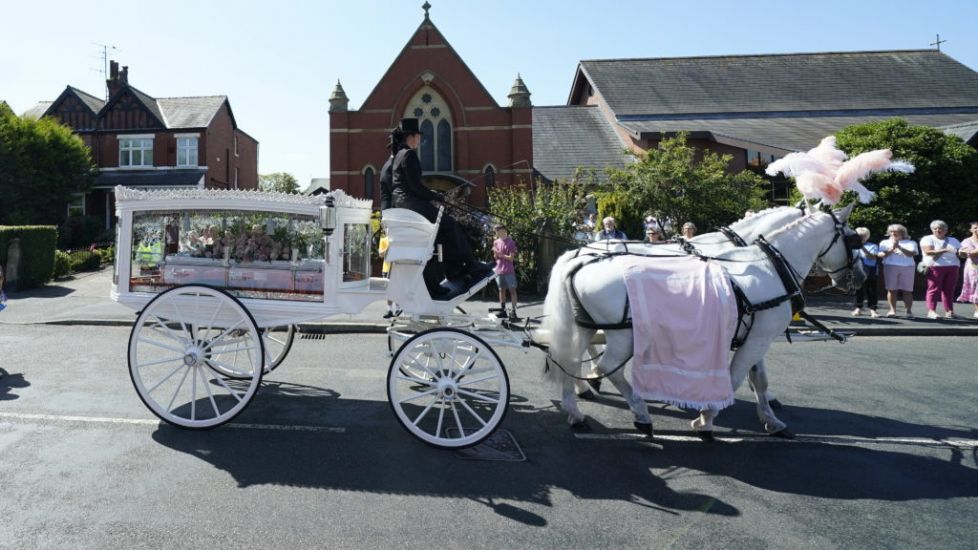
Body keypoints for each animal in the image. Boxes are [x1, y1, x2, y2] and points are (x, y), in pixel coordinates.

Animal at [536, 205, 864, 442]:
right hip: (623, 335)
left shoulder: (755, 334)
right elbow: (735, 377)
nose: (858, 278)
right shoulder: (758, 337)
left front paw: (771, 419)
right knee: (608, 367)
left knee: (569, 358)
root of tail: (579, 257)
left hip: (583, 325)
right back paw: (638, 413)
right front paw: (706, 418)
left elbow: (758, 379)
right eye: (854, 239)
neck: (767, 265)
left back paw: (577, 409)